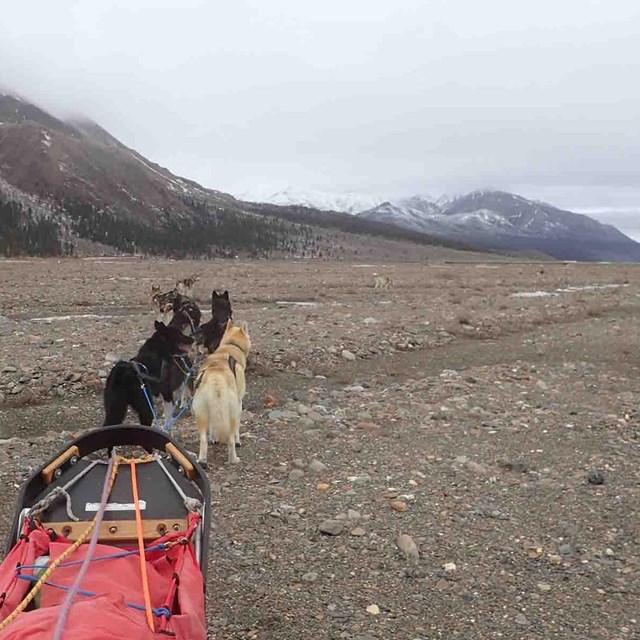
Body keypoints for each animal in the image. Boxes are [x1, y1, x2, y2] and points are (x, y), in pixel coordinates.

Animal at [190, 320, 250, 464]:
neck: (231, 346)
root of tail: (215, 378)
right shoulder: (239, 403)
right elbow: (237, 429)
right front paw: (238, 441)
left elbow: (213, 426)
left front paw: (214, 438)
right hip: (232, 412)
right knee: (231, 440)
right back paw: (234, 459)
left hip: (201, 414)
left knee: (203, 440)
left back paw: (202, 460)